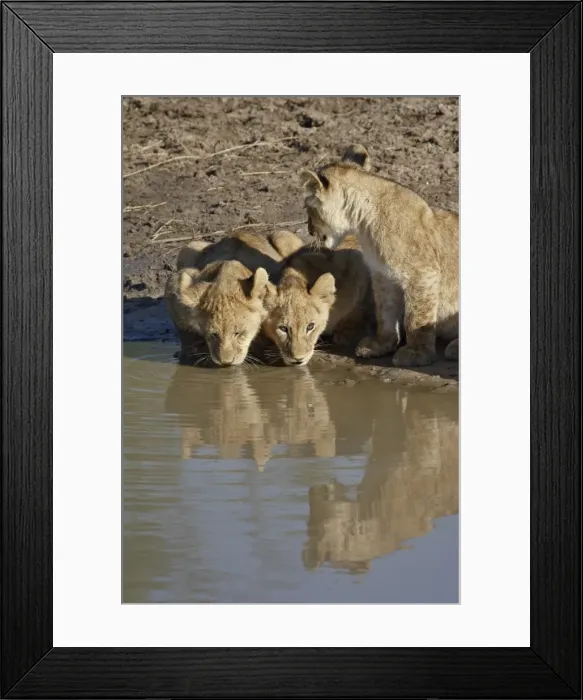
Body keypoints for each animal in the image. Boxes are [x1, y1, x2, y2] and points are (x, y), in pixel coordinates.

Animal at [165, 229, 304, 366]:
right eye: (214, 335)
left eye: (238, 334)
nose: (226, 362)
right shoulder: (175, 284)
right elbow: (185, 334)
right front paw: (188, 355)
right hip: (189, 248)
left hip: (284, 237)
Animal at [301, 144, 459, 367]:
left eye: (308, 208)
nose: (309, 230)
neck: (363, 224)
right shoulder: (383, 276)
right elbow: (385, 312)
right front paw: (380, 345)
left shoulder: (422, 273)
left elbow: (416, 317)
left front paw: (417, 352)